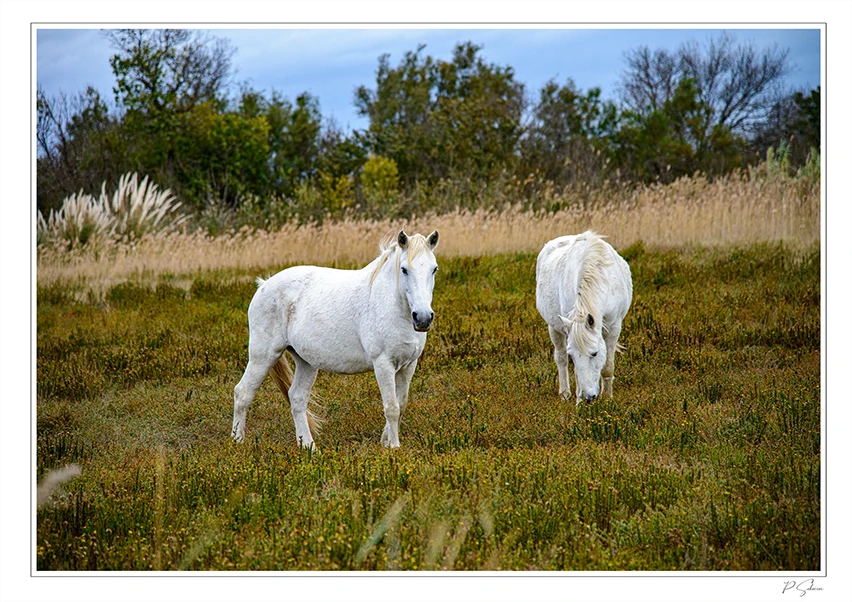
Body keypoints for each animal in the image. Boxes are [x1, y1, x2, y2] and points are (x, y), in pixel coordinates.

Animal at [231, 229, 440, 449]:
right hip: (263, 356)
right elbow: (391, 407)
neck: (393, 306)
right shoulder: (383, 364)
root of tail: (264, 285)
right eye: (404, 269)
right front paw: (394, 447)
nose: (423, 318)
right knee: (243, 393)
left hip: (306, 362)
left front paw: (386, 441)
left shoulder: (408, 365)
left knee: (297, 398)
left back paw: (308, 446)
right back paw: (237, 441)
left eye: (434, 269)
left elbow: (401, 404)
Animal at [535, 231, 633, 404]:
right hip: (553, 327)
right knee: (560, 358)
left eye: (594, 353)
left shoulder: (614, 327)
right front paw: (578, 401)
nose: (588, 397)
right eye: (572, 355)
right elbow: (575, 370)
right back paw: (564, 393)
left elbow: (607, 367)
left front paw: (608, 398)